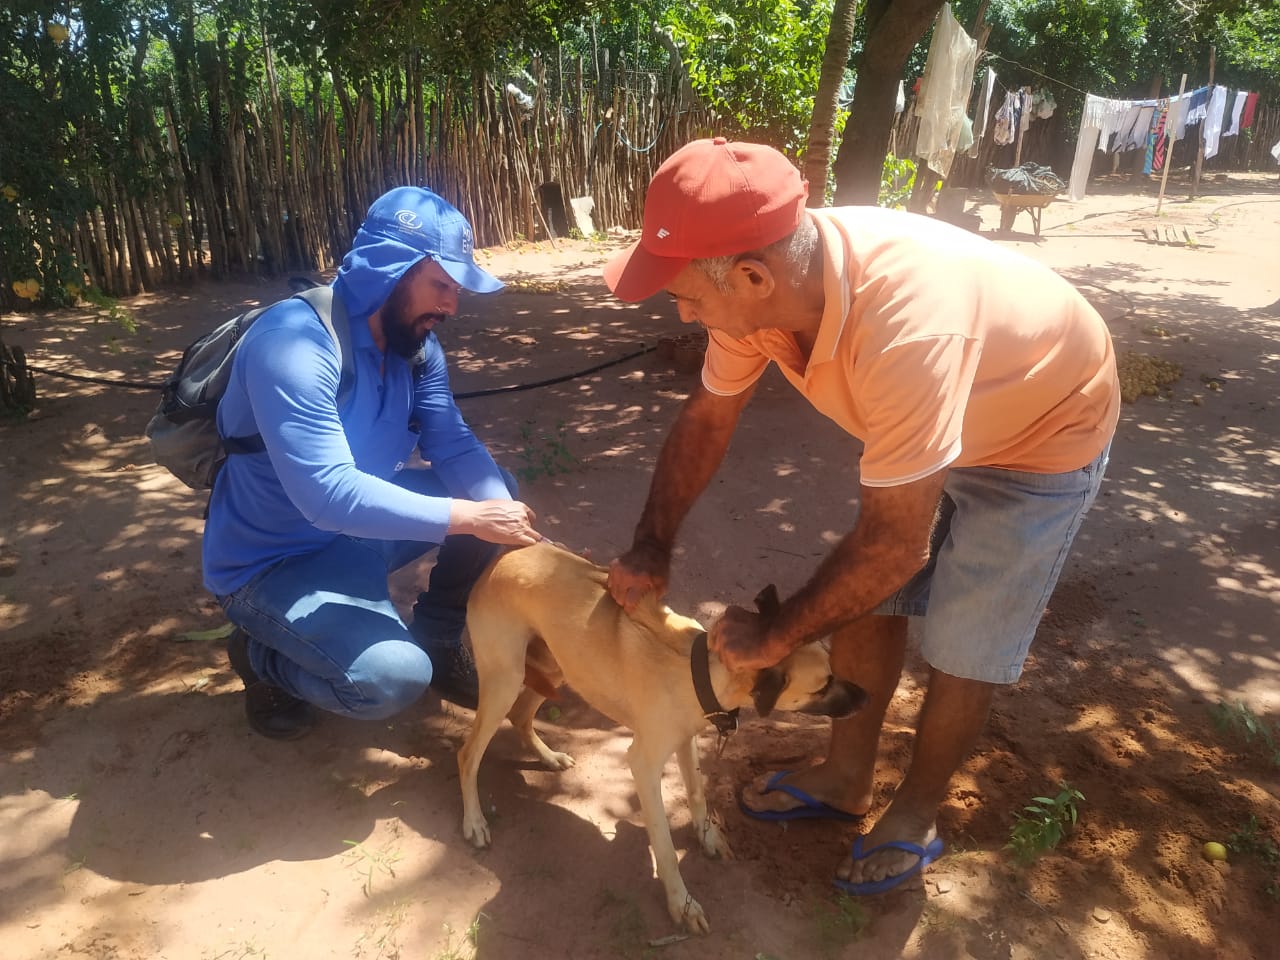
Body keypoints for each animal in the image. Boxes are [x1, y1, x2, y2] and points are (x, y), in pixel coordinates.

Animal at [455, 545, 865, 936]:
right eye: (823, 684)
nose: (866, 697)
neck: (700, 669)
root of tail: (499, 560)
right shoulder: (643, 763)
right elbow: (665, 846)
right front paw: (681, 904)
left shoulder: (686, 740)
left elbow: (697, 793)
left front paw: (708, 838)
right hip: (506, 679)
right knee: (468, 754)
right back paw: (474, 821)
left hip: (557, 667)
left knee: (521, 715)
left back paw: (548, 757)